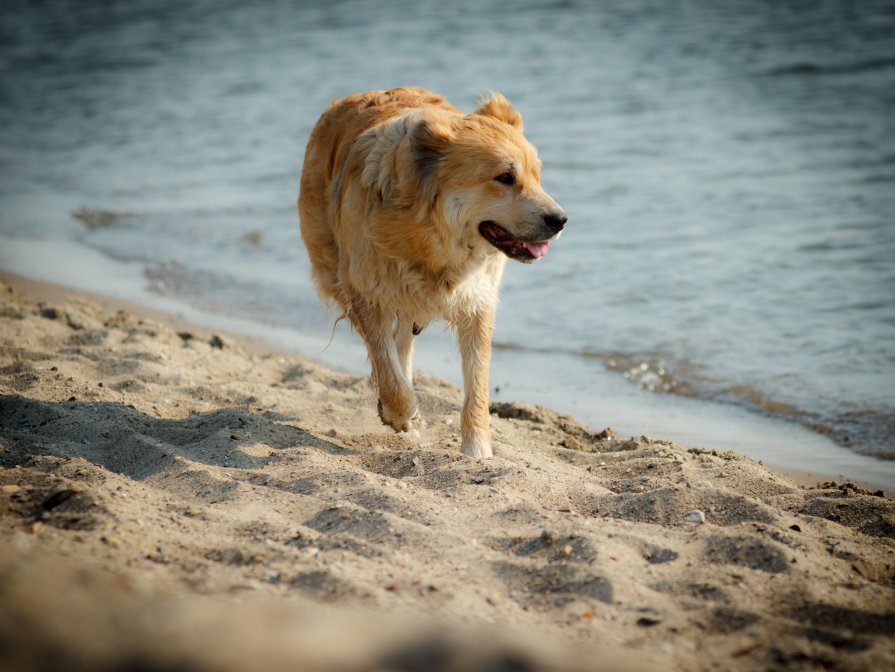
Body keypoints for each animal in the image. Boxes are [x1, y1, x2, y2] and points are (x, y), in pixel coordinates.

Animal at [300, 88, 568, 456]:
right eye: (504, 178)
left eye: (537, 176)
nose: (560, 220)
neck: (428, 236)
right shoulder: (366, 292)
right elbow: (388, 370)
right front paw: (400, 413)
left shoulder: (478, 300)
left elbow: (477, 383)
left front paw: (477, 450)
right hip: (334, 266)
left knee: (402, 340)